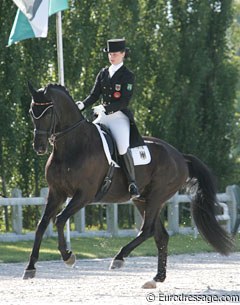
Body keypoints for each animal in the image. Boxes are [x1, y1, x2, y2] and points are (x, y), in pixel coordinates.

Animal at [23, 83, 233, 288]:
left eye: (48, 113)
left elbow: (59, 220)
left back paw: (119, 258)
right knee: (161, 235)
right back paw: (156, 278)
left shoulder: (84, 195)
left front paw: (68, 256)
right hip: (142, 200)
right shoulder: (56, 193)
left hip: (156, 197)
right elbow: (41, 225)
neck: (72, 146)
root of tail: (180, 156)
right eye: (32, 112)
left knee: (147, 230)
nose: (39, 146)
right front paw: (30, 268)